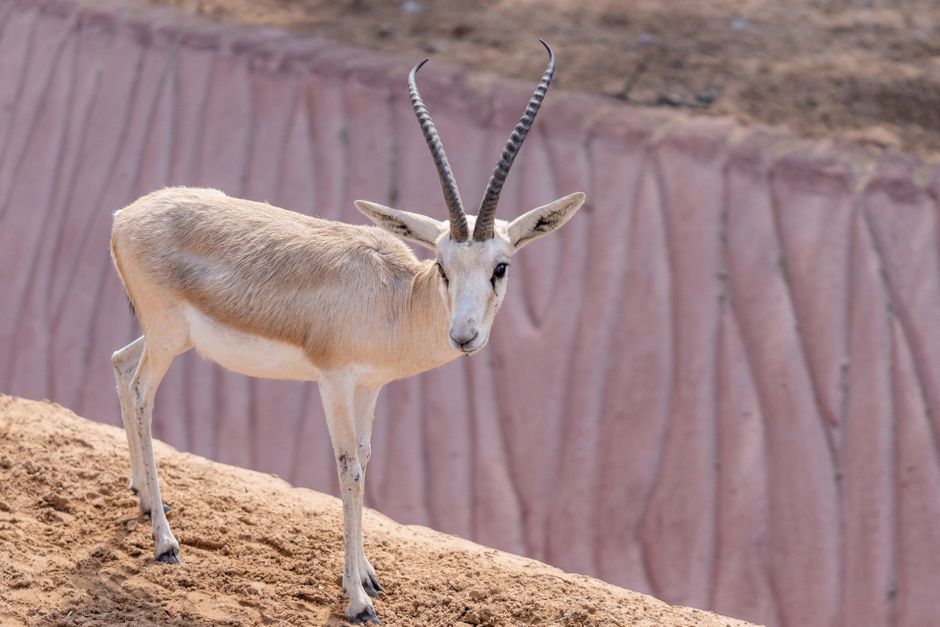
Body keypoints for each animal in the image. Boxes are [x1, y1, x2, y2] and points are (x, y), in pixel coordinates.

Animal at [109, 40, 584, 624]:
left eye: (501, 266)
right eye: (443, 264)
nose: (465, 336)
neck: (394, 299)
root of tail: (124, 215)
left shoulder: (370, 386)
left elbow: (367, 458)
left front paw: (368, 575)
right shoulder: (333, 381)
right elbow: (349, 469)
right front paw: (358, 599)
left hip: (166, 337)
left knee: (119, 362)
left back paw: (145, 498)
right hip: (167, 339)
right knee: (141, 393)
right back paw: (165, 542)